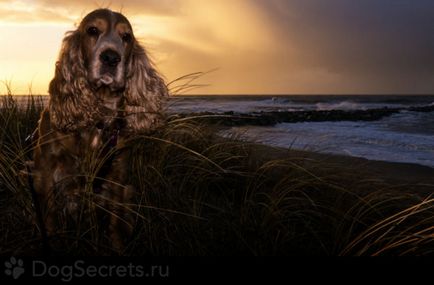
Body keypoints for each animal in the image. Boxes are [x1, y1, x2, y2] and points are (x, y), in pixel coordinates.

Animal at [31, 8, 168, 248]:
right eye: (92, 30)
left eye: (126, 37)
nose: (111, 57)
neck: (99, 113)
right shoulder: (45, 169)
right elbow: (50, 219)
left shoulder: (118, 174)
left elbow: (115, 225)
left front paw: (118, 248)